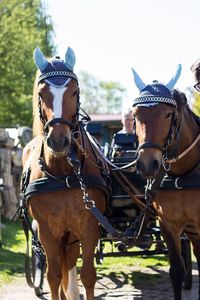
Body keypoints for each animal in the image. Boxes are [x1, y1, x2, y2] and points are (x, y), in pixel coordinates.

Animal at [21, 47, 110, 300]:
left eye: (74, 91)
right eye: (41, 93)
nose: (59, 140)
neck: (62, 173)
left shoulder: (89, 226)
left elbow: (87, 275)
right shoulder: (46, 231)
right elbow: (53, 276)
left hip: (71, 235)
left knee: (69, 262)